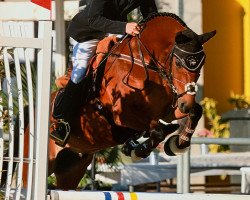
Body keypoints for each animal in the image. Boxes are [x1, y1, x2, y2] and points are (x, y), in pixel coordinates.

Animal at [8, 11, 216, 190]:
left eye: (201, 65)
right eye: (179, 63)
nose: (185, 103)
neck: (145, 64)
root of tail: (29, 112)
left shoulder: (167, 110)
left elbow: (193, 112)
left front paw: (179, 143)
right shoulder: (120, 114)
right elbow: (156, 129)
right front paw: (140, 150)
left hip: (71, 168)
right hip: (34, 164)